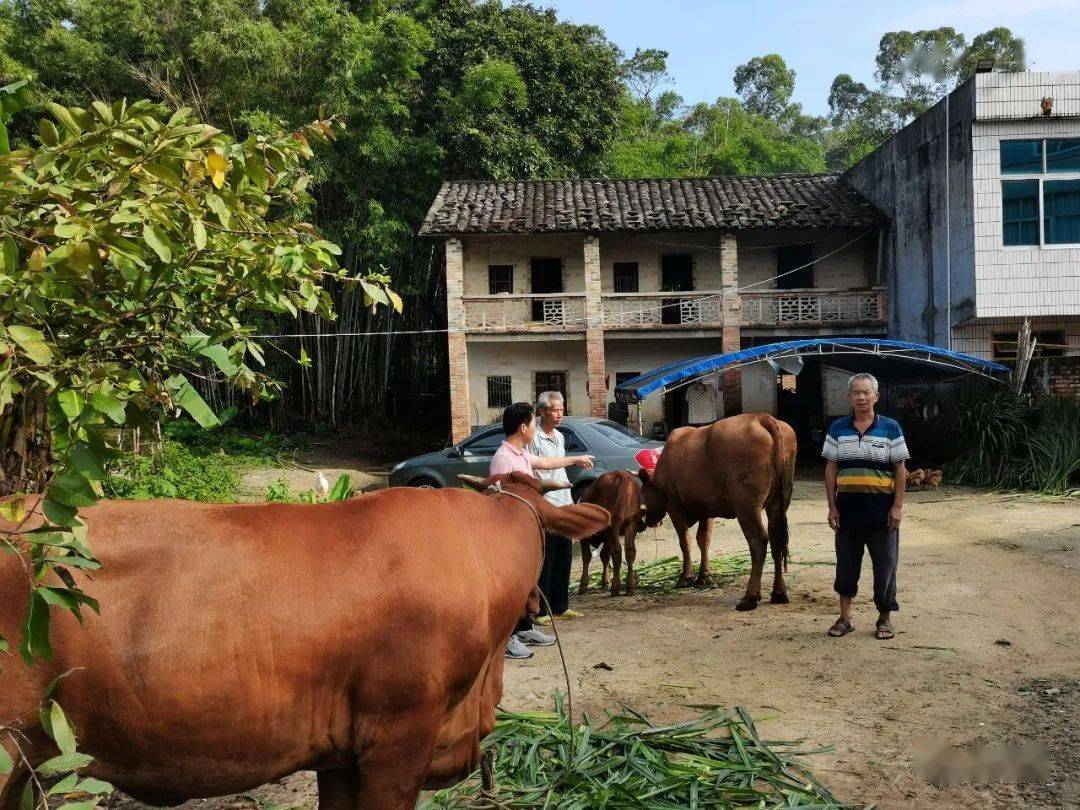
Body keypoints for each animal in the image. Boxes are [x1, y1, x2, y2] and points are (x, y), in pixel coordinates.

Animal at [578, 468, 643, 596]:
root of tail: (621, 474)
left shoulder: (586, 537)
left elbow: (587, 557)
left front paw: (583, 584)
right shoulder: (607, 536)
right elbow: (604, 556)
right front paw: (605, 581)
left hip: (613, 527)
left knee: (617, 552)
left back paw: (616, 587)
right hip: (630, 524)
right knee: (630, 551)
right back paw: (630, 587)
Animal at [635, 414, 799, 613]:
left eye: (643, 492)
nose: (647, 520)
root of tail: (761, 417)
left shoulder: (674, 506)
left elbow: (685, 541)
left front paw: (686, 577)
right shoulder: (707, 509)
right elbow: (703, 540)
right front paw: (704, 575)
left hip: (747, 507)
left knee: (759, 542)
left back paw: (750, 597)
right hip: (778, 503)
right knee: (777, 542)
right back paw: (779, 593)